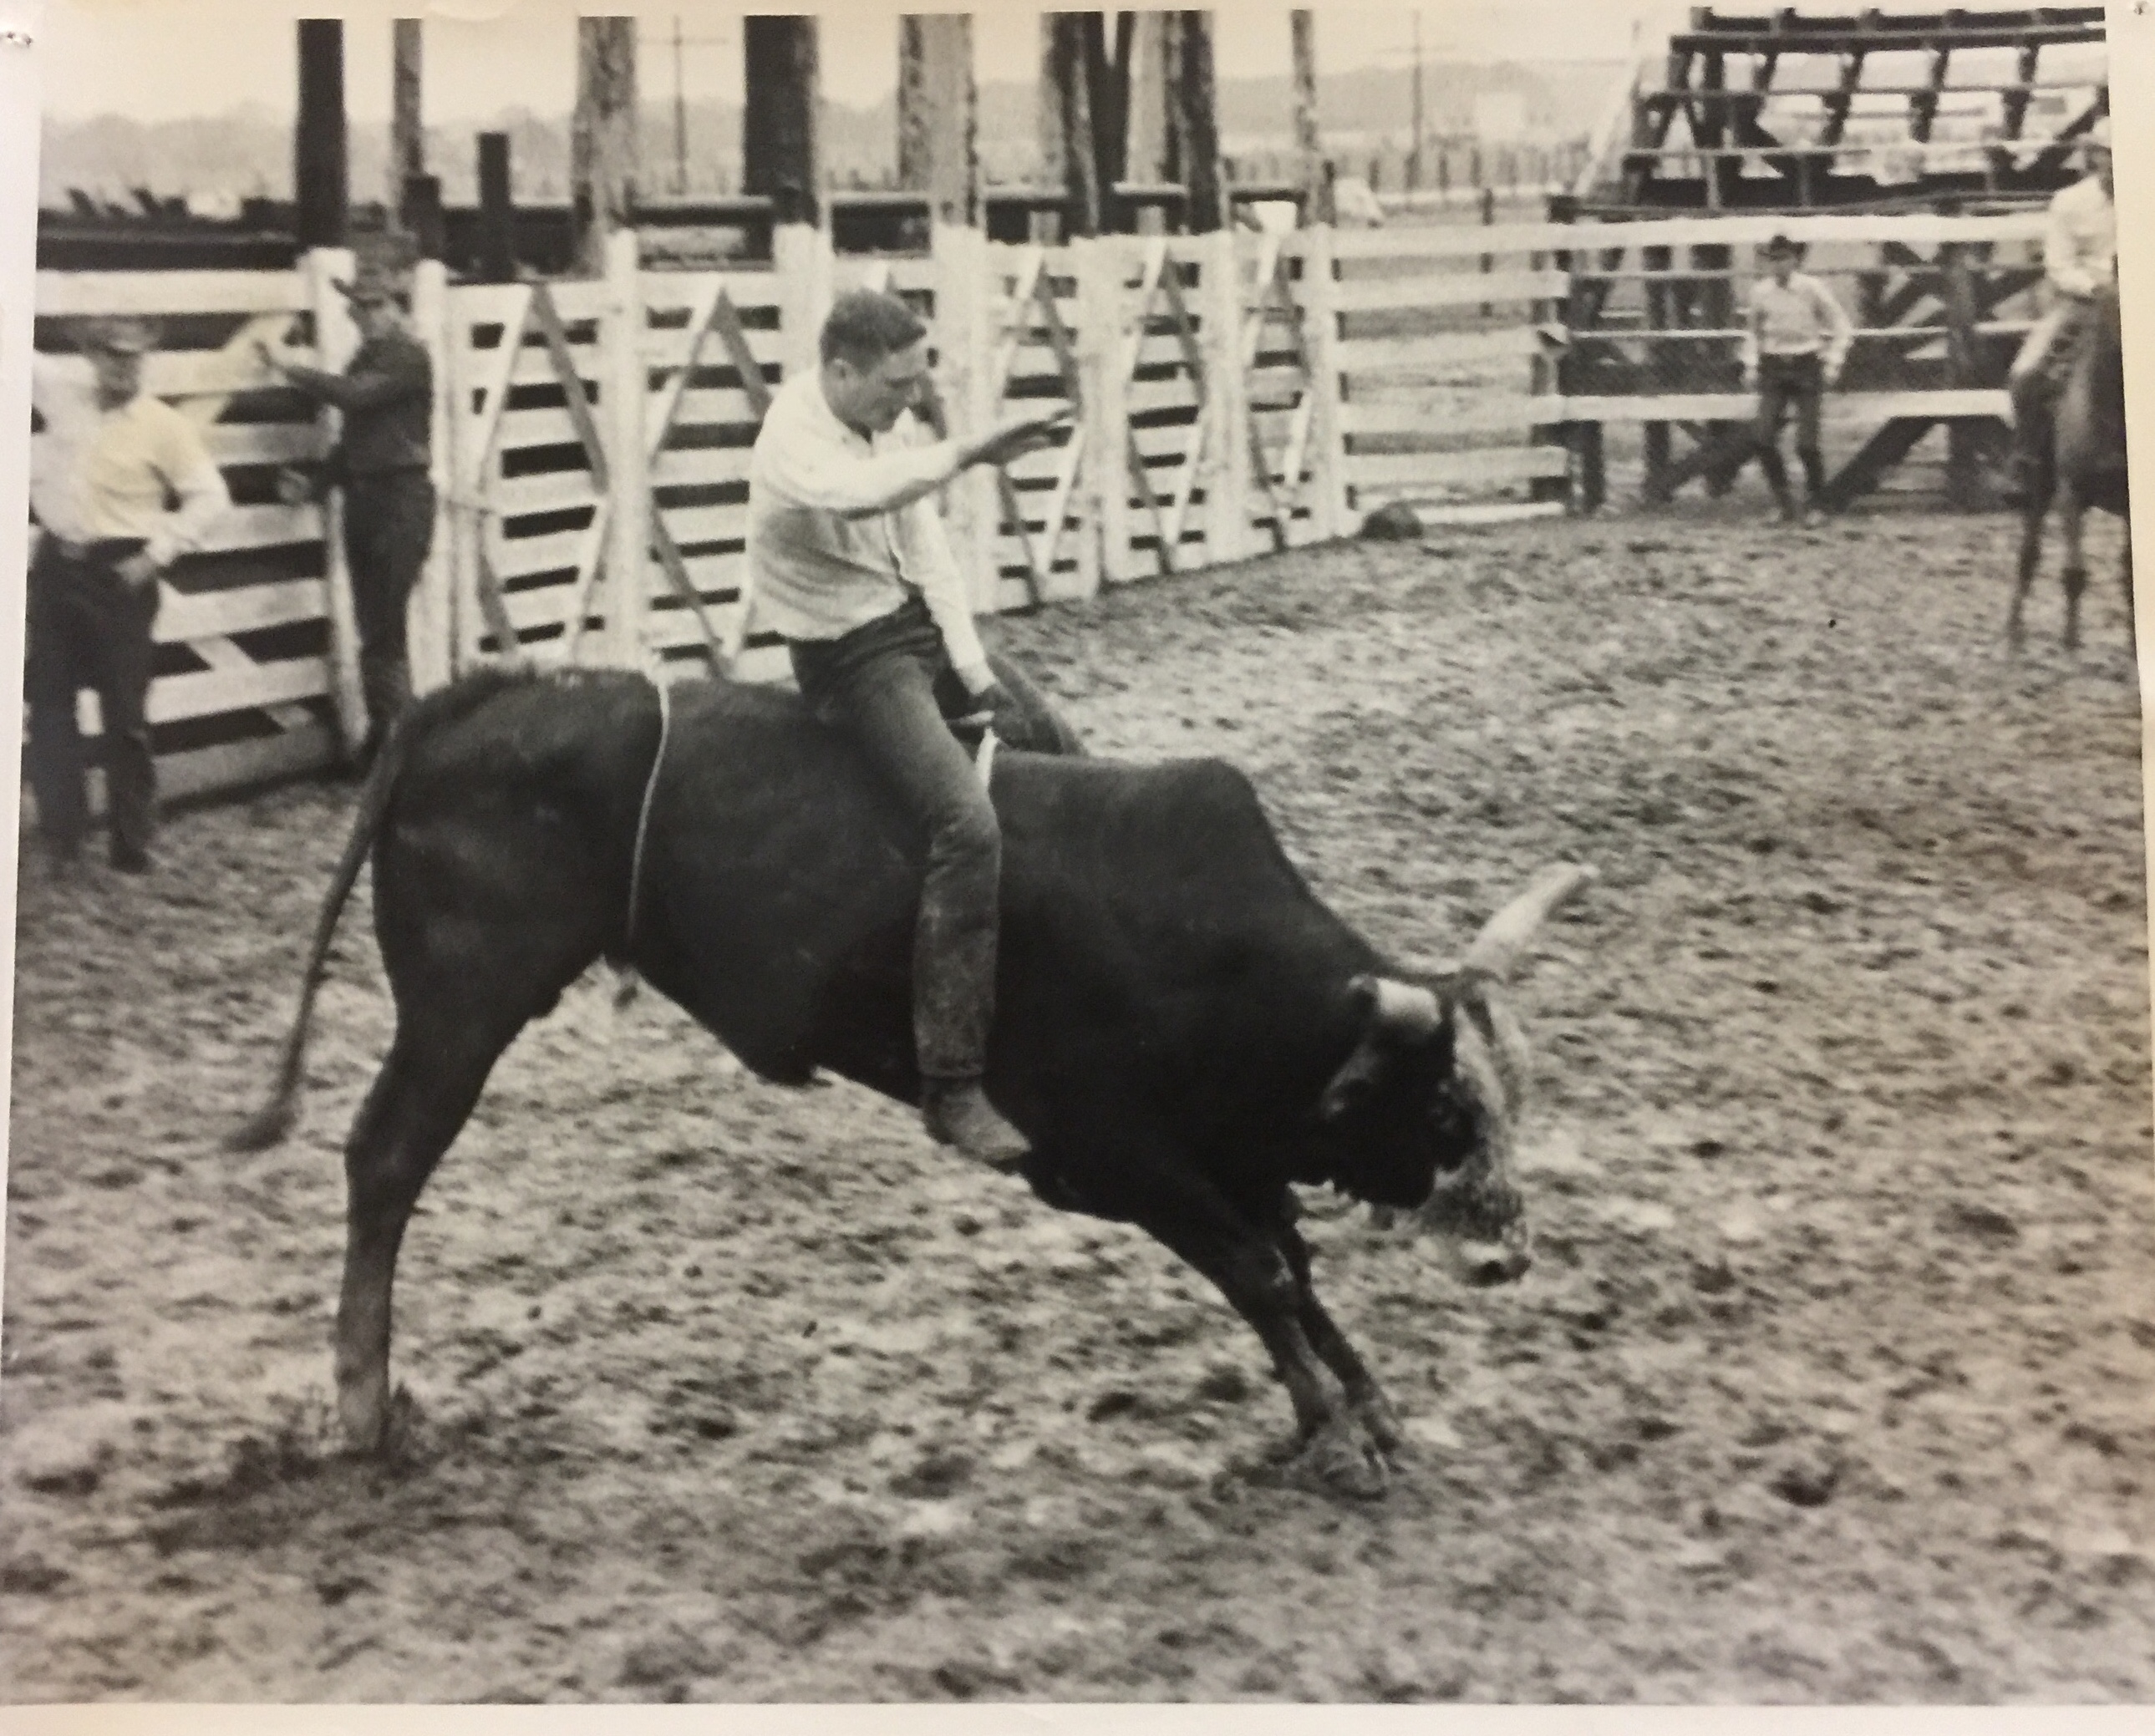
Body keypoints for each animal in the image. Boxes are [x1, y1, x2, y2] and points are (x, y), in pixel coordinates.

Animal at [236, 658, 1594, 1499]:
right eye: (1441, 1105)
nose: (1506, 1254)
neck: (1194, 940)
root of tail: (472, 697)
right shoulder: (1115, 1155)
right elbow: (1256, 1267)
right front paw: (1339, 1433)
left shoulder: (1223, 1144)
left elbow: (1288, 1267)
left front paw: (1359, 1403)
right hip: (461, 1003)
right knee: (385, 1157)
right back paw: (363, 1407)